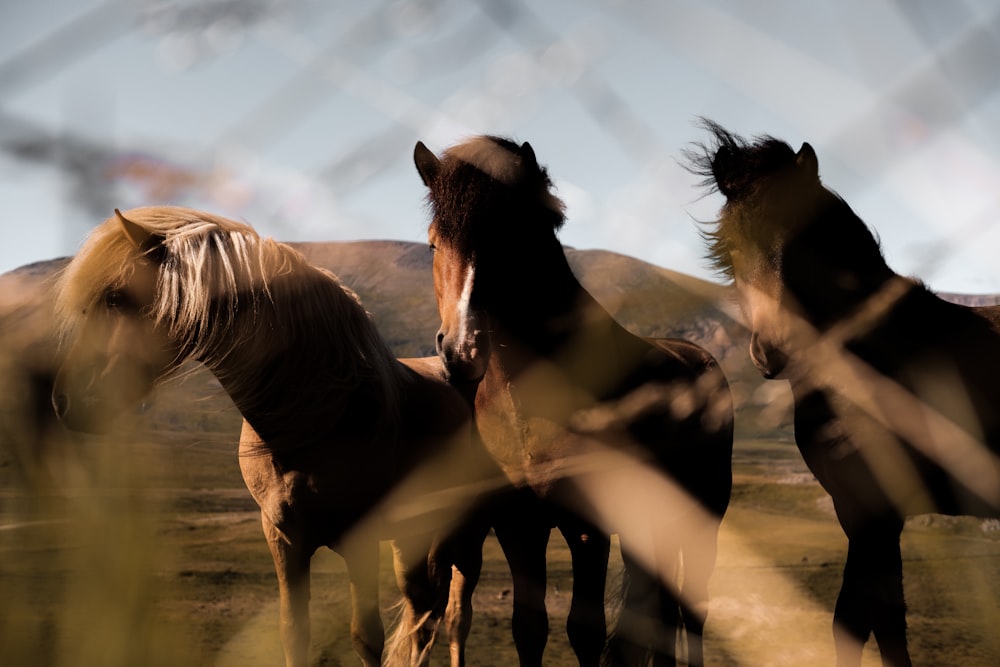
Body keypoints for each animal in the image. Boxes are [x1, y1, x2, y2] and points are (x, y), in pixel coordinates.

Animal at [49, 207, 496, 667]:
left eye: (115, 297)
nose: (64, 400)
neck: (318, 415)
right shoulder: (282, 538)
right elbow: (294, 632)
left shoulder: (362, 539)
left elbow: (366, 637)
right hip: (411, 540)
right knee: (423, 615)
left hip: (469, 535)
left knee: (454, 618)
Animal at [414, 137, 736, 667]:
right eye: (434, 243)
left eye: (513, 237)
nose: (463, 349)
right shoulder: (518, 527)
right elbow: (529, 627)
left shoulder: (588, 528)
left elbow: (584, 630)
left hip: (704, 517)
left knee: (695, 608)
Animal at [688, 121, 1000, 667]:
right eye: (730, 248)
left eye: (806, 238)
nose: (773, 350)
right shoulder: (856, 511)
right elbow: (879, 623)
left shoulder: (878, 514)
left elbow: (860, 623)